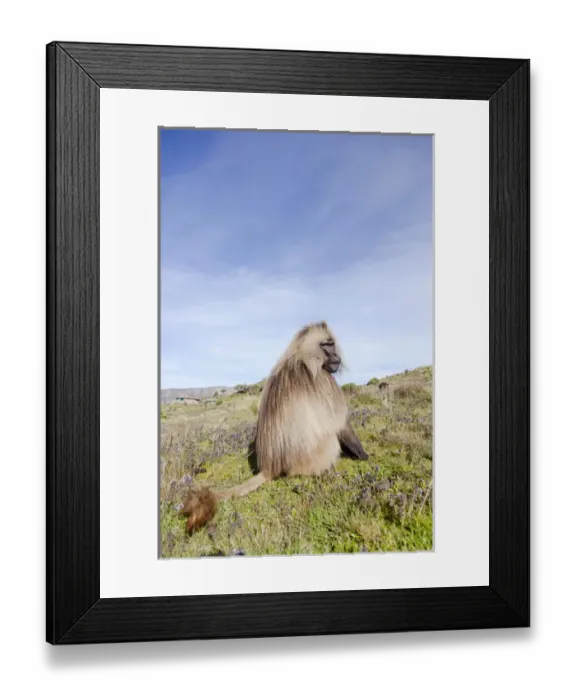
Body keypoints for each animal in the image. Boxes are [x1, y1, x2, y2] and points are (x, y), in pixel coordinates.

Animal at [180, 321, 368, 533]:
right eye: (325, 345)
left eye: (332, 344)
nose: (336, 357)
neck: (303, 357)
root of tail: (271, 467)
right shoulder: (323, 378)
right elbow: (339, 423)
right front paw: (362, 454)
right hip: (313, 456)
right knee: (330, 440)